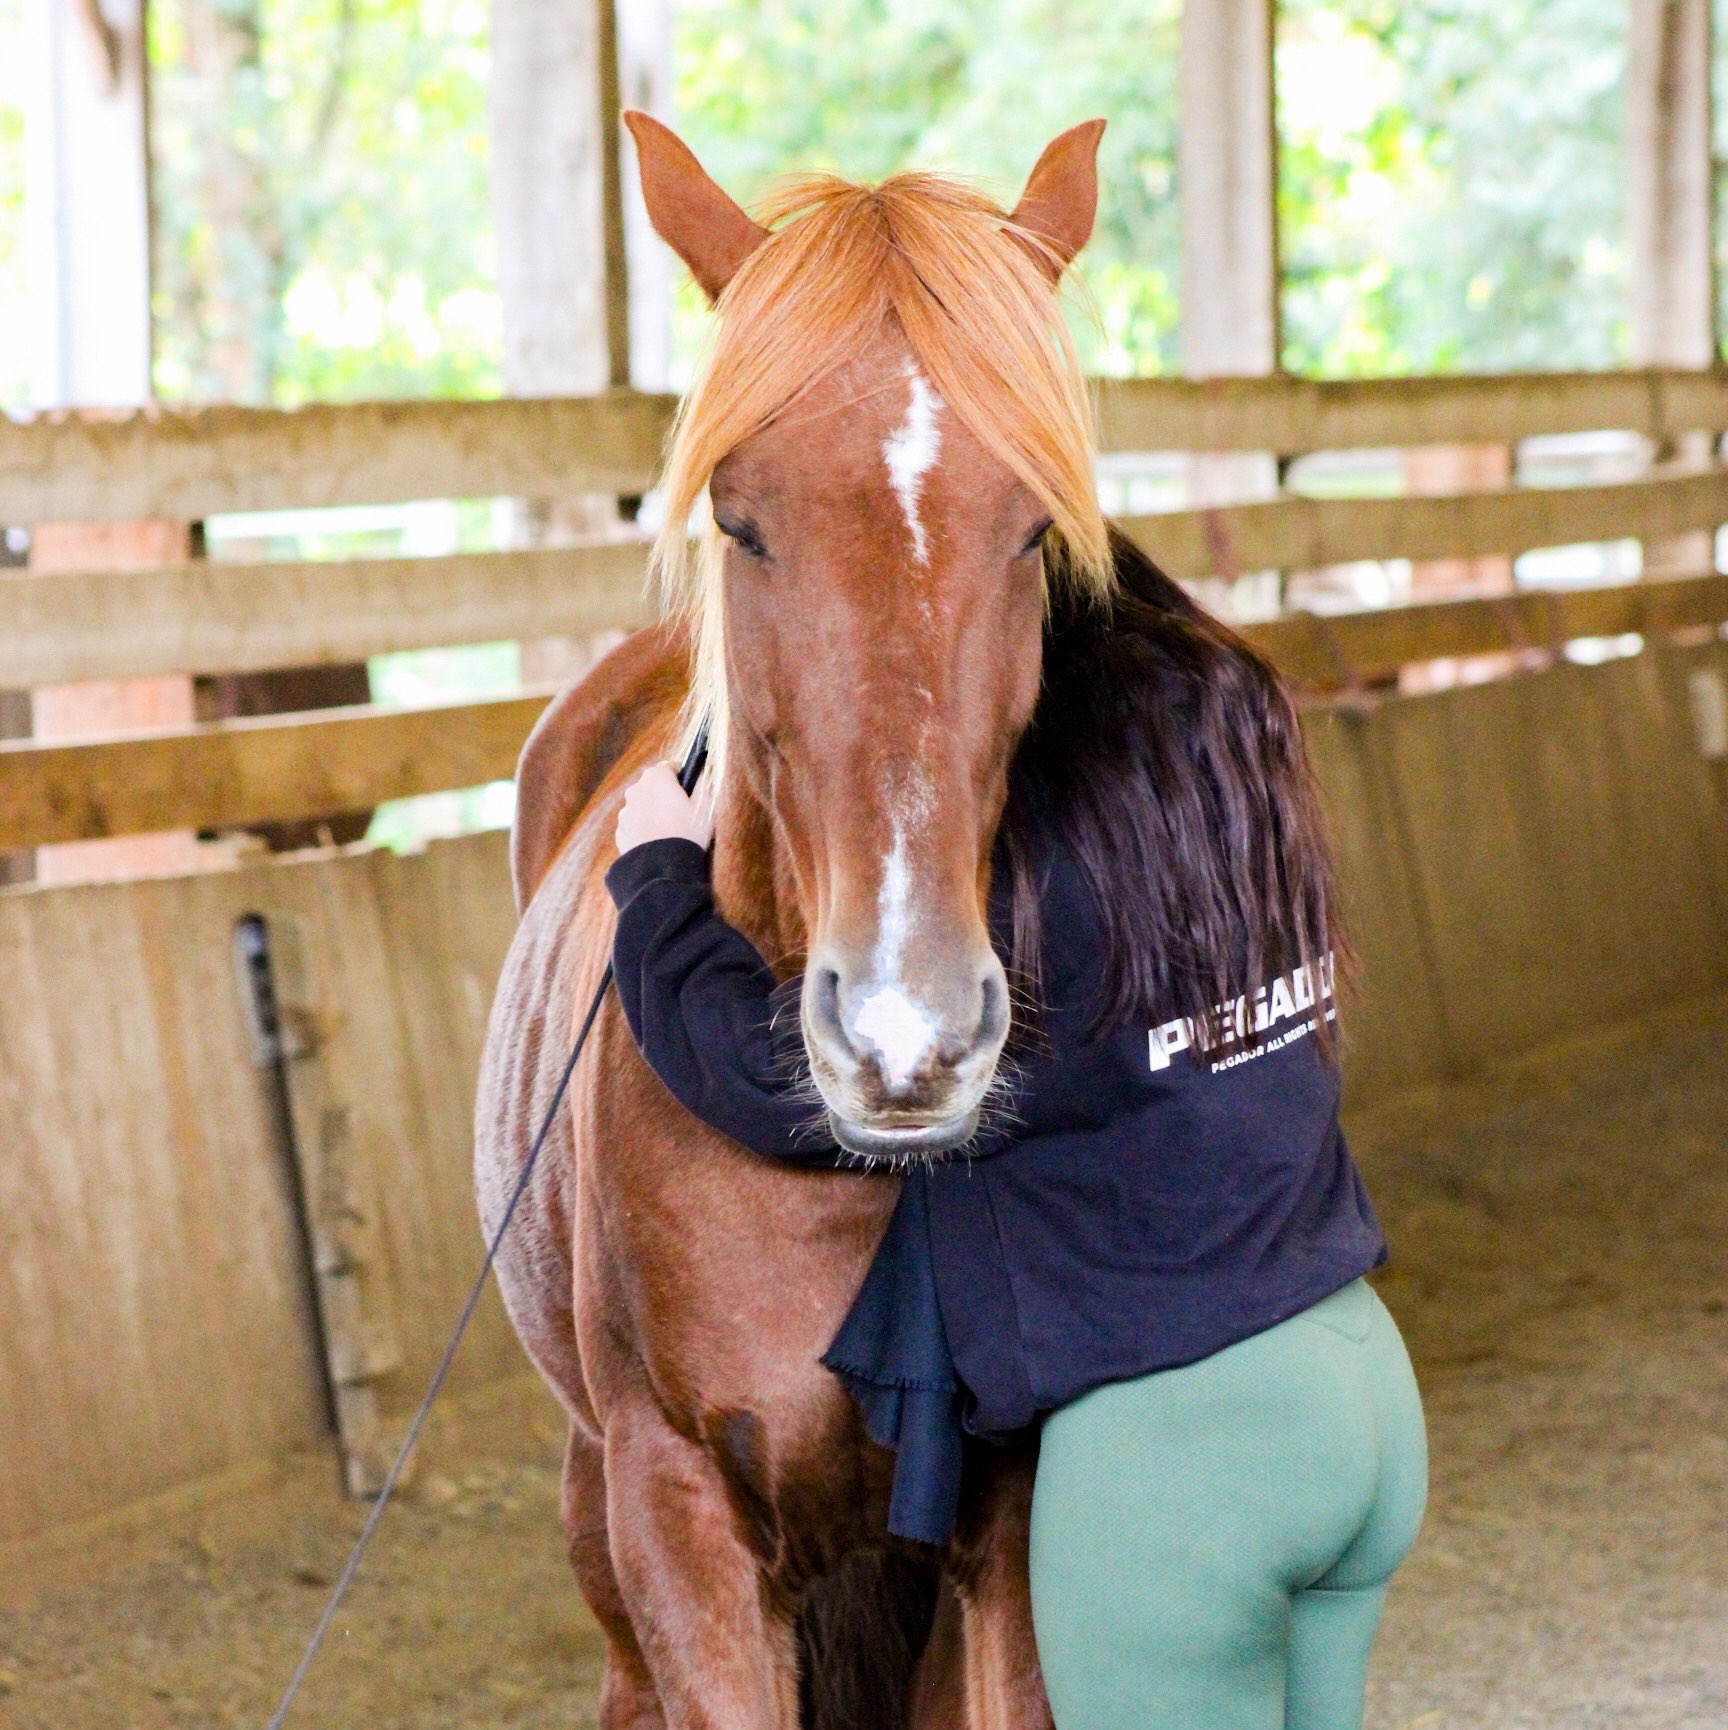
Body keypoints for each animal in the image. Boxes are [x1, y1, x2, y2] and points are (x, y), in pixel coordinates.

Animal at [480, 115, 1113, 1723]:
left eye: (1032, 531)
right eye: (739, 516)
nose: (905, 1039)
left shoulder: (1010, 1519)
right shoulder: (678, 1517)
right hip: (599, 1525)